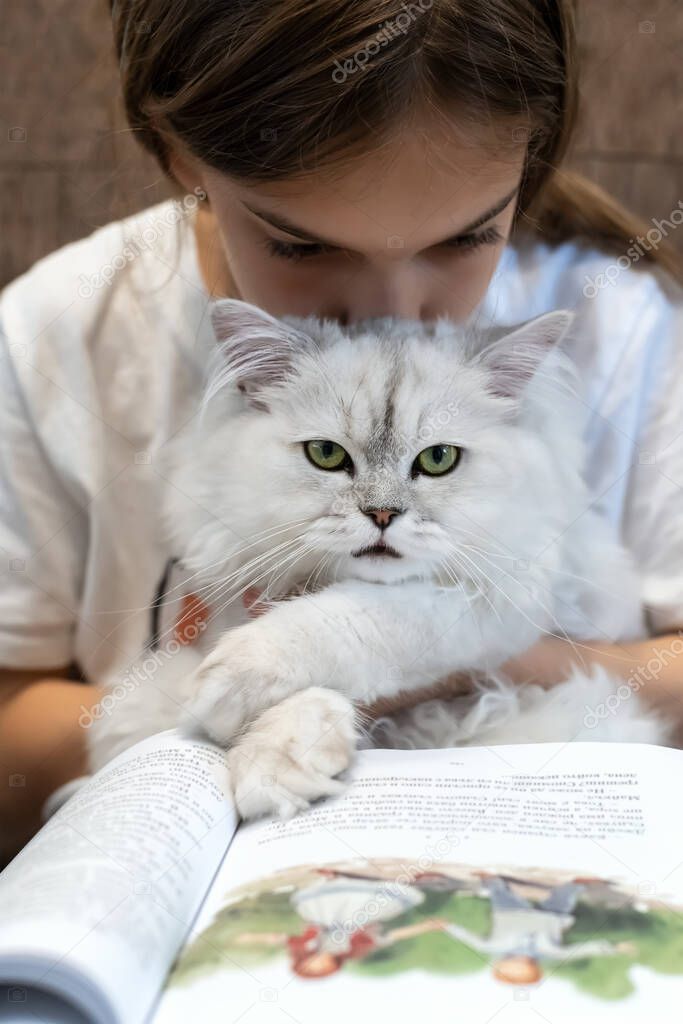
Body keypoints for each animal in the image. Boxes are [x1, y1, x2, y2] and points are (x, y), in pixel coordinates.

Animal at [85, 299, 667, 815]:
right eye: (326, 455)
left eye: (439, 459)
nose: (383, 514)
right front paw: (276, 759)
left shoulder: (492, 607)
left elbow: (347, 622)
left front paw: (248, 719)